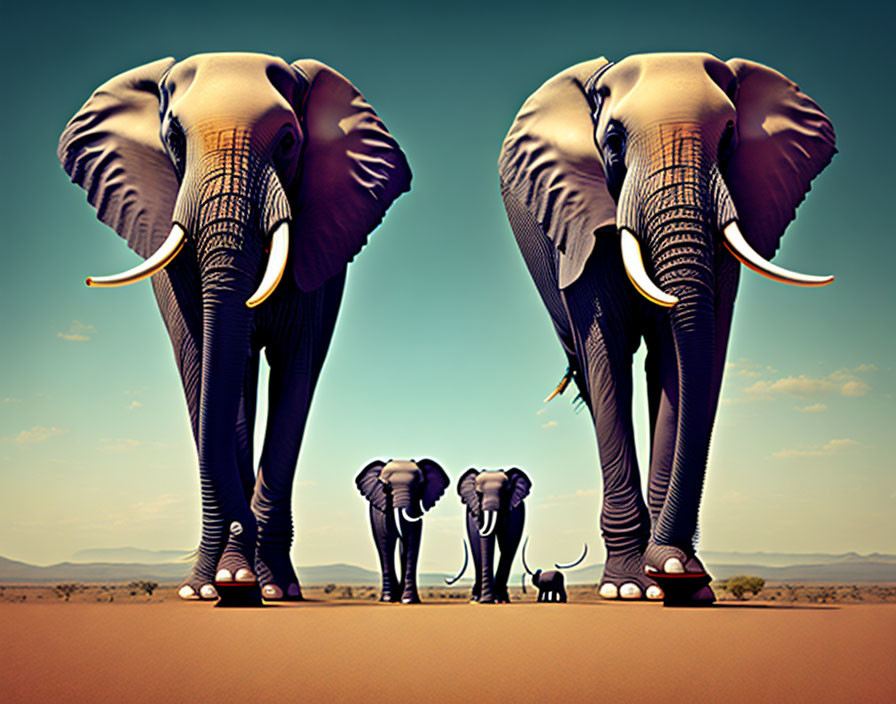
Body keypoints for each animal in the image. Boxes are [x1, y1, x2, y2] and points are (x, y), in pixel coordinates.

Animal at [59, 52, 412, 604]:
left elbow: (295, 367)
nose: (242, 536)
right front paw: (216, 585)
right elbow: (203, 362)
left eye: (288, 141)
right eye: (174, 138)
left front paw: (270, 586)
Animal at [352, 460, 446, 604]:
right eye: (386, 486)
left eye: (419, 485)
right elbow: (386, 539)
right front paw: (391, 599)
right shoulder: (381, 510)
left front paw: (408, 600)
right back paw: (388, 599)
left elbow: (412, 538)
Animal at [452, 468, 528, 604]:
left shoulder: (515, 514)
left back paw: (502, 599)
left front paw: (497, 599)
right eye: (478, 493)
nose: (486, 601)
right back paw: (477, 598)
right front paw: (480, 600)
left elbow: (507, 543)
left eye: (505, 493)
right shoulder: (473, 510)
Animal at [500, 55, 836, 604]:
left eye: (729, 138)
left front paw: (680, 580)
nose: (678, 570)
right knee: (592, 378)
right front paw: (628, 588)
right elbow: (610, 351)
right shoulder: (582, 220)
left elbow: (682, 355)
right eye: (613, 140)